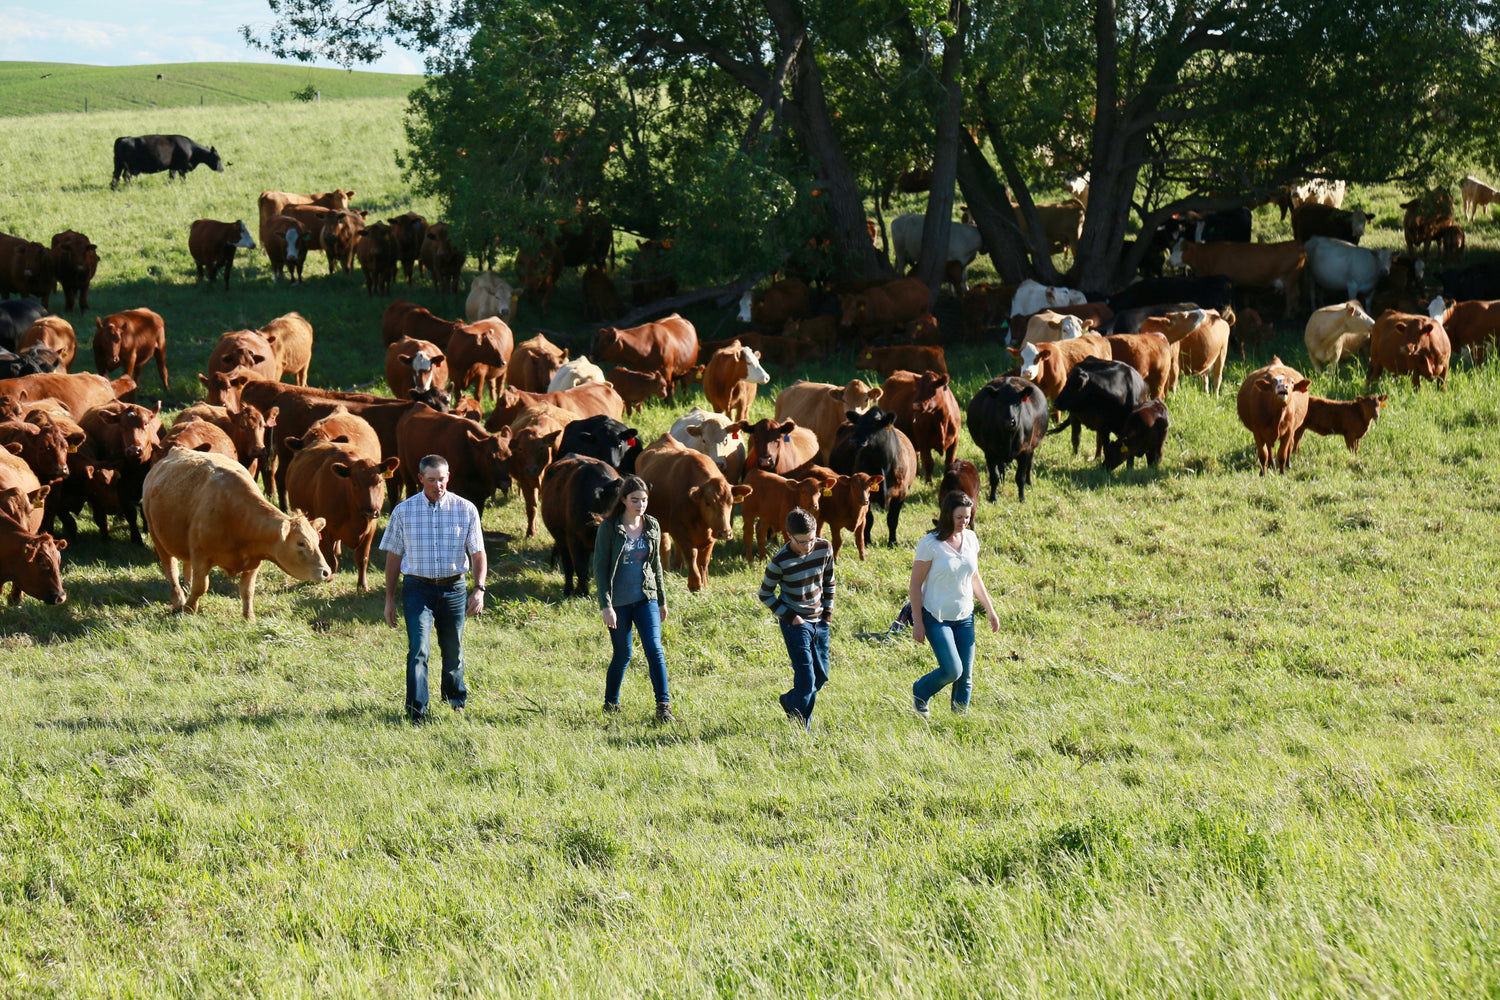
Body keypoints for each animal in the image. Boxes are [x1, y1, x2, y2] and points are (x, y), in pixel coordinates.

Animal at [285, 440, 399, 593]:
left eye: (380, 481)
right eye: (354, 483)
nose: (371, 511)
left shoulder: (370, 530)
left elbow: (362, 558)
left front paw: (362, 585)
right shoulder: (325, 531)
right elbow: (331, 561)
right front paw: (328, 577)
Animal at [540, 458, 621, 599]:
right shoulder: (573, 538)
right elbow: (580, 567)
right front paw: (584, 593)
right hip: (561, 539)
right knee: (568, 564)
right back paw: (568, 590)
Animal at [633, 434, 750, 590]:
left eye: (731, 502)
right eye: (708, 502)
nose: (725, 533)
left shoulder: (712, 533)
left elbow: (704, 560)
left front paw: (704, 582)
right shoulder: (678, 528)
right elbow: (692, 553)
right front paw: (694, 583)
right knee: (665, 544)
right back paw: (666, 570)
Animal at [834, 407, 912, 548]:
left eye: (875, 423)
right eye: (858, 423)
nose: (855, 441)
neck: (882, 464)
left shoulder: (901, 494)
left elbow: (892, 519)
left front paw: (892, 542)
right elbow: (868, 520)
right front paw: (867, 542)